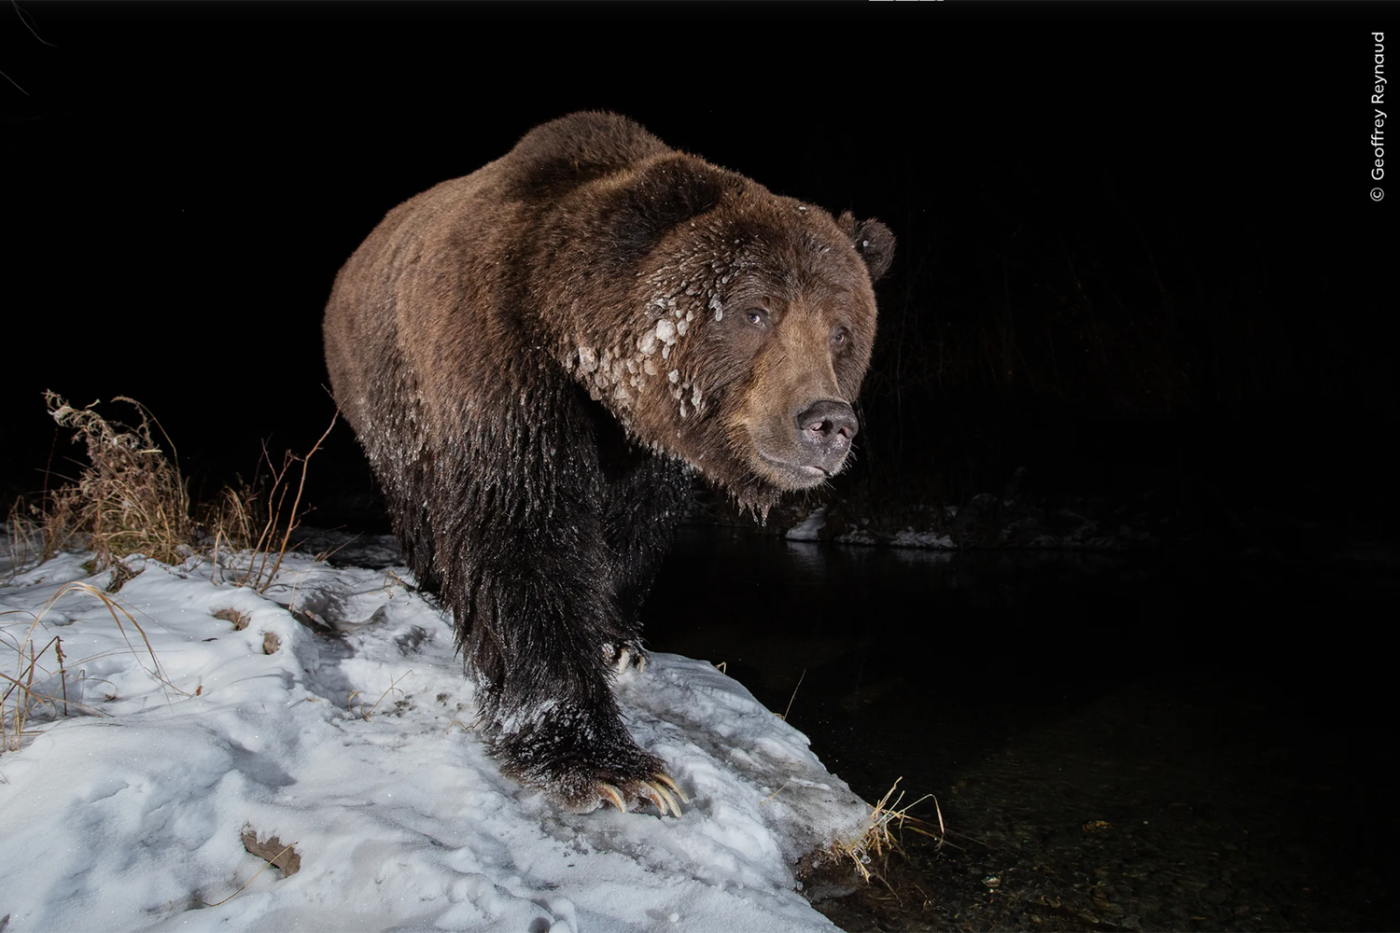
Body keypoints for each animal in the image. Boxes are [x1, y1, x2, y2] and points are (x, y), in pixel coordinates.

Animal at [324, 112, 896, 812]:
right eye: (755, 311)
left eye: (841, 331)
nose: (827, 422)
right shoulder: (499, 361)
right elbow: (522, 531)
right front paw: (607, 764)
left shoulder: (647, 441)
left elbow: (634, 528)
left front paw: (617, 640)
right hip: (385, 396)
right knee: (415, 497)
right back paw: (432, 582)